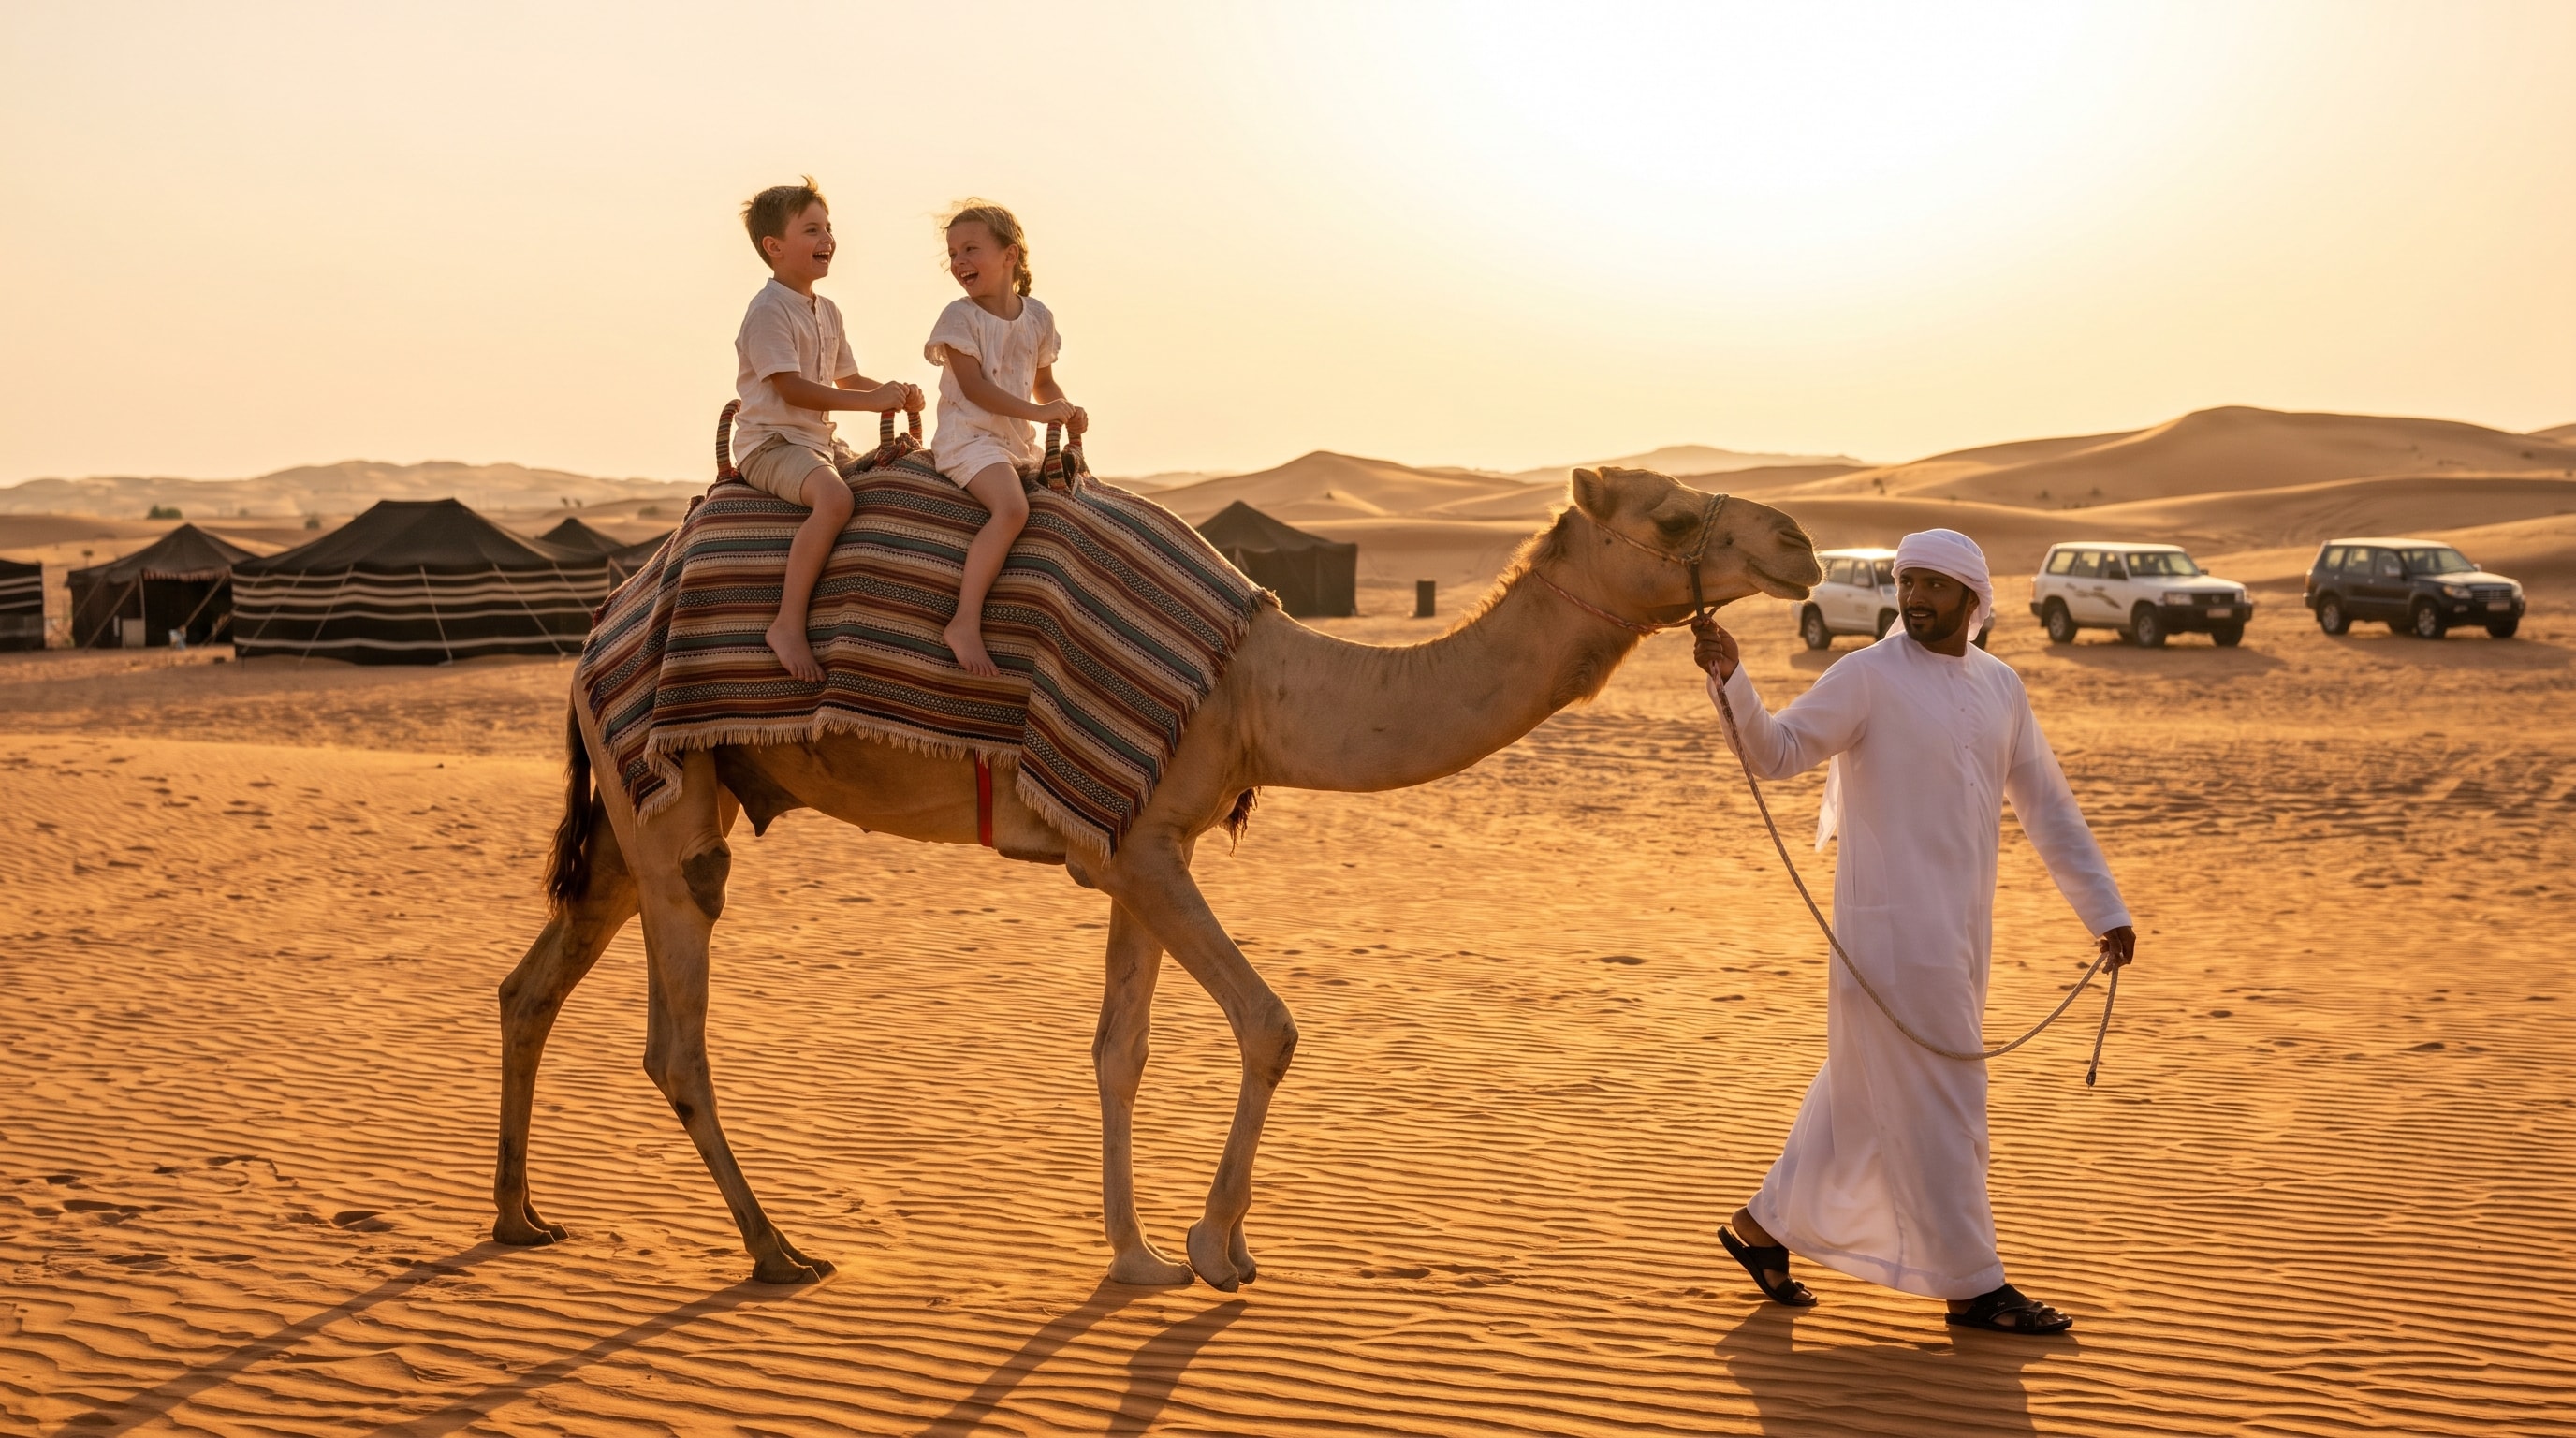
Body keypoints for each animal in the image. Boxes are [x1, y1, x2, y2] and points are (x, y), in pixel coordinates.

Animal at [493, 464, 1818, 1291]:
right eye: (1673, 517)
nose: (1803, 546)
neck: (1260, 687)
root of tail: (600, 622)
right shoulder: (1136, 845)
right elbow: (1270, 1023)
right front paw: (1217, 1247)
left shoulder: (1138, 843)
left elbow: (1117, 1051)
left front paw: (1131, 1255)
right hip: (665, 798)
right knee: (676, 1037)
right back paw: (776, 1252)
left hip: (643, 805)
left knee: (531, 985)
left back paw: (518, 1217)